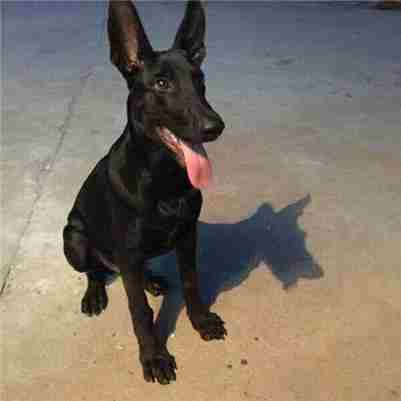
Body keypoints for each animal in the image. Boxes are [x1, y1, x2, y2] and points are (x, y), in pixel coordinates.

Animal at [63, 0, 226, 384]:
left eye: (200, 81)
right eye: (162, 83)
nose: (215, 127)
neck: (164, 179)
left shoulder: (187, 235)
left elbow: (192, 282)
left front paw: (201, 320)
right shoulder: (128, 249)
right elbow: (139, 311)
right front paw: (153, 357)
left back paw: (151, 280)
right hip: (73, 237)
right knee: (95, 271)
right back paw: (95, 294)